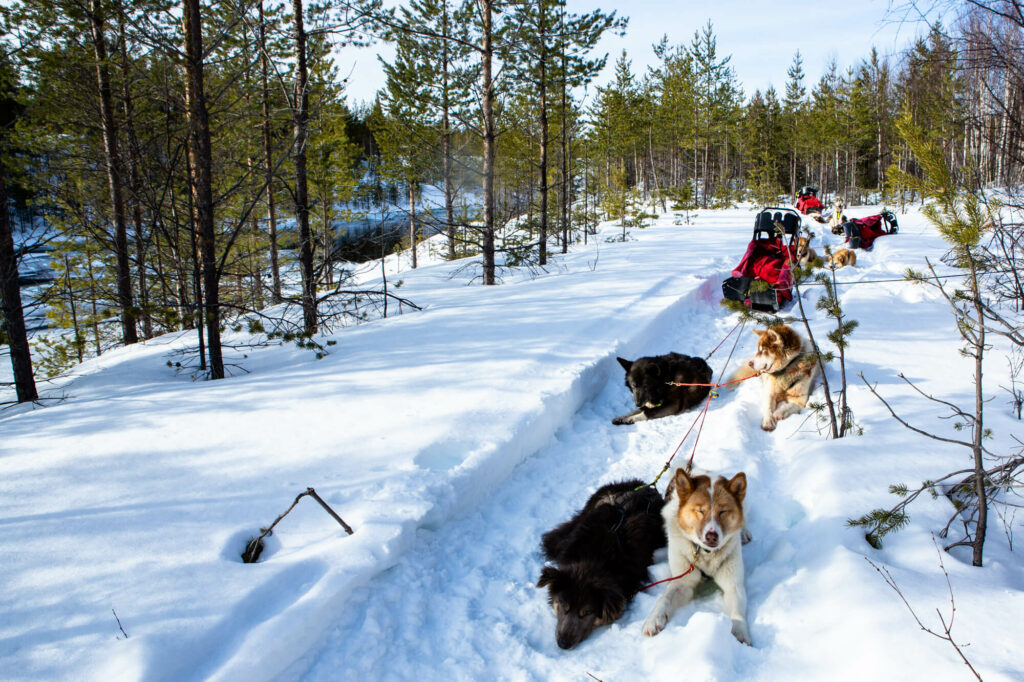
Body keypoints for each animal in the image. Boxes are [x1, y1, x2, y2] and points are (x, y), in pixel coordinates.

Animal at [638, 462, 753, 643]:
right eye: (700, 510)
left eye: (723, 511)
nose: (712, 536)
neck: (706, 554)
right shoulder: (682, 580)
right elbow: (665, 598)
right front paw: (653, 619)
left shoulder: (733, 585)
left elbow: (737, 612)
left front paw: (739, 632)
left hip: (745, 503)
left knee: (744, 518)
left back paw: (744, 532)